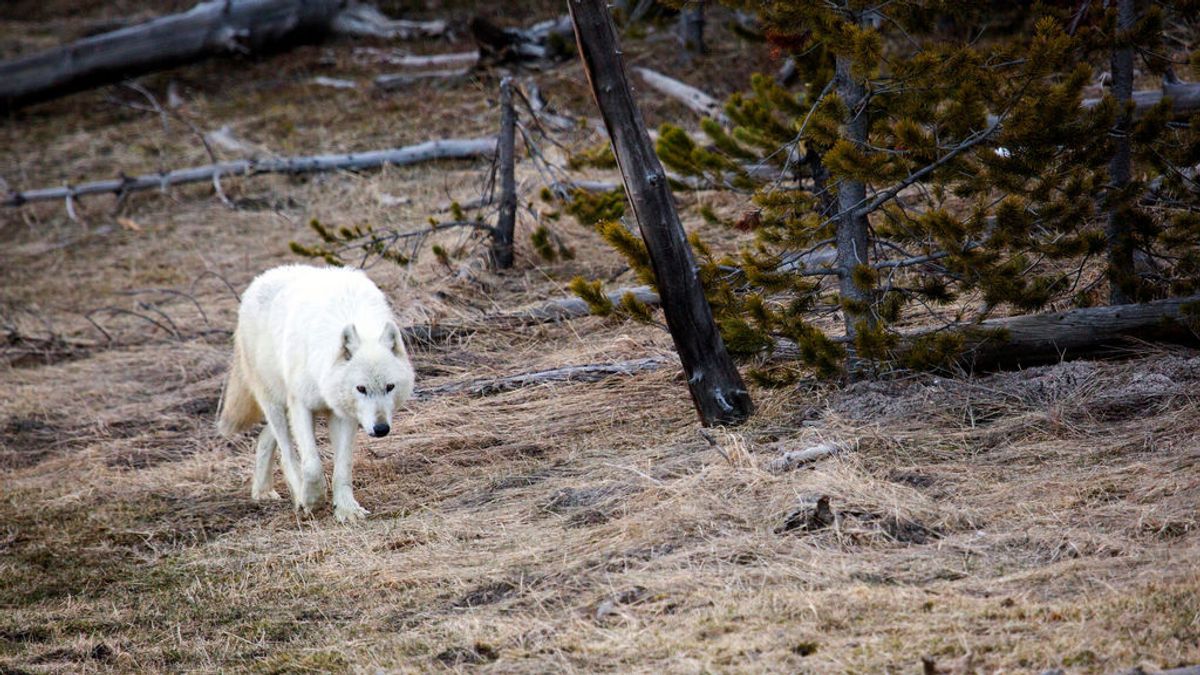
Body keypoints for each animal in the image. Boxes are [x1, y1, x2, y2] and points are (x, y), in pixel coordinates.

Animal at [218, 263, 415, 521]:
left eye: (389, 387)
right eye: (361, 389)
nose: (381, 429)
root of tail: (262, 277)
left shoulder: (344, 414)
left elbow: (343, 468)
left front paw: (347, 510)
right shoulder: (301, 405)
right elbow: (312, 465)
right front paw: (312, 500)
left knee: (265, 439)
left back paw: (262, 491)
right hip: (275, 402)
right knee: (287, 452)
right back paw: (296, 496)